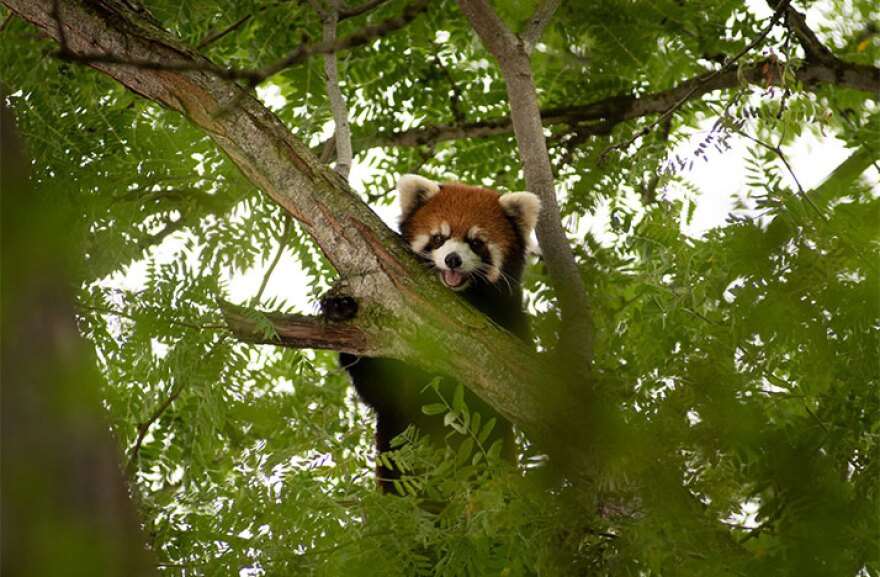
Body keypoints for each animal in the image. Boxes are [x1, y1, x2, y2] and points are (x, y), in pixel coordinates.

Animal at [326, 173, 540, 492]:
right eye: (439, 238)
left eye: (476, 243)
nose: (452, 259)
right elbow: (380, 388)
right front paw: (340, 310)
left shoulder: (512, 322)